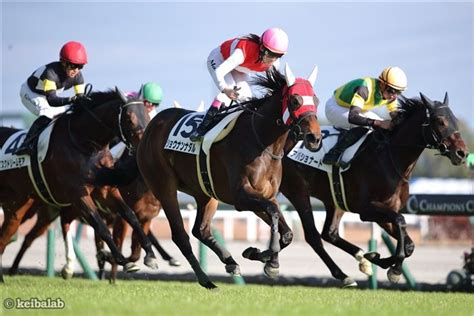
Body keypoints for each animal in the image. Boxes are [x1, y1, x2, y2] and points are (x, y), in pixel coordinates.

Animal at [0, 88, 150, 282]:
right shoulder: (78, 193)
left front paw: (149, 253)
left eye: (147, 116)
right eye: (129, 118)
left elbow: (130, 215)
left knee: (5, 237)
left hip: (16, 207)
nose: (144, 146)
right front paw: (123, 260)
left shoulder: (104, 190)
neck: (84, 141)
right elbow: (101, 226)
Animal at [136, 66, 322, 288]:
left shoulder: (264, 196)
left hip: (205, 193)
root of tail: (153, 123)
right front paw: (270, 260)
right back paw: (205, 280)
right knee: (180, 235)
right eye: (295, 100)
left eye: (316, 100)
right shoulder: (242, 197)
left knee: (201, 230)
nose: (315, 138)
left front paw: (259, 254)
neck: (262, 141)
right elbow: (274, 214)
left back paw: (230, 262)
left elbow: (286, 231)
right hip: (164, 187)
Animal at [280, 92, 468, 286]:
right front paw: (394, 268)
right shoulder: (367, 209)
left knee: (330, 233)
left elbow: (409, 244)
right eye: (440, 121)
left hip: (335, 199)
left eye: (455, 120)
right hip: (298, 192)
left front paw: (378, 259)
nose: (462, 153)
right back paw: (343, 275)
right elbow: (401, 221)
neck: (391, 159)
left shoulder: (386, 210)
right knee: (313, 236)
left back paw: (362, 258)